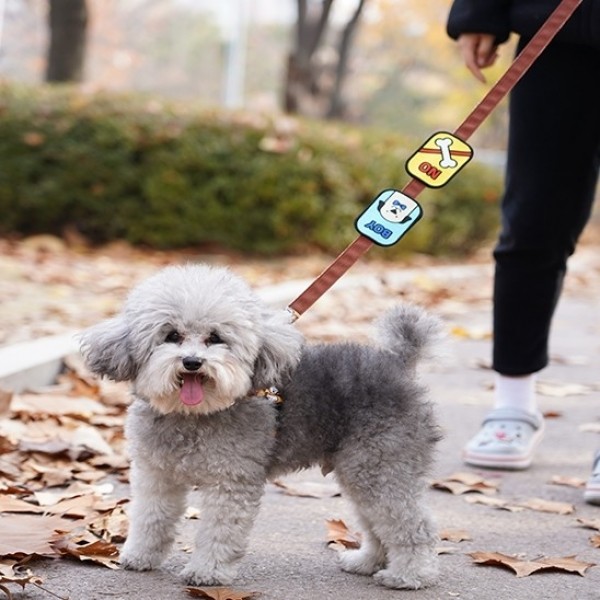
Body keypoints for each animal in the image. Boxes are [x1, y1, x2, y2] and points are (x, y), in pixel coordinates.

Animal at [81, 264, 440, 592]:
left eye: (215, 338)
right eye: (172, 335)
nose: (193, 362)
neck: (192, 415)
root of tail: (397, 362)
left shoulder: (230, 480)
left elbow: (219, 531)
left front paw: (207, 572)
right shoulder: (156, 474)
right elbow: (151, 518)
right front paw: (140, 557)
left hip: (381, 464)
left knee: (411, 524)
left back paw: (408, 575)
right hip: (362, 470)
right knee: (375, 523)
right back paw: (366, 562)